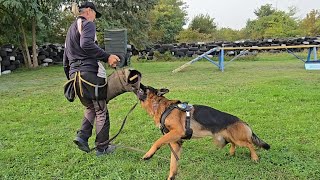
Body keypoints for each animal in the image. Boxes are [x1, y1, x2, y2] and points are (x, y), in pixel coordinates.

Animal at [136, 85, 270, 179]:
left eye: (145, 87)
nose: (136, 83)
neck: (161, 106)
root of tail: (242, 121)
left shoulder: (177, 132)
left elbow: (157, 141)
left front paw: (148, 154)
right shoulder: (176, 142)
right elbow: (173, 163)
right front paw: (171, 176)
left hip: (238, 138)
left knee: (250, 144)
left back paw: (254, 158)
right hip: (227, 138)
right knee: (234, 143)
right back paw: (232, 153)